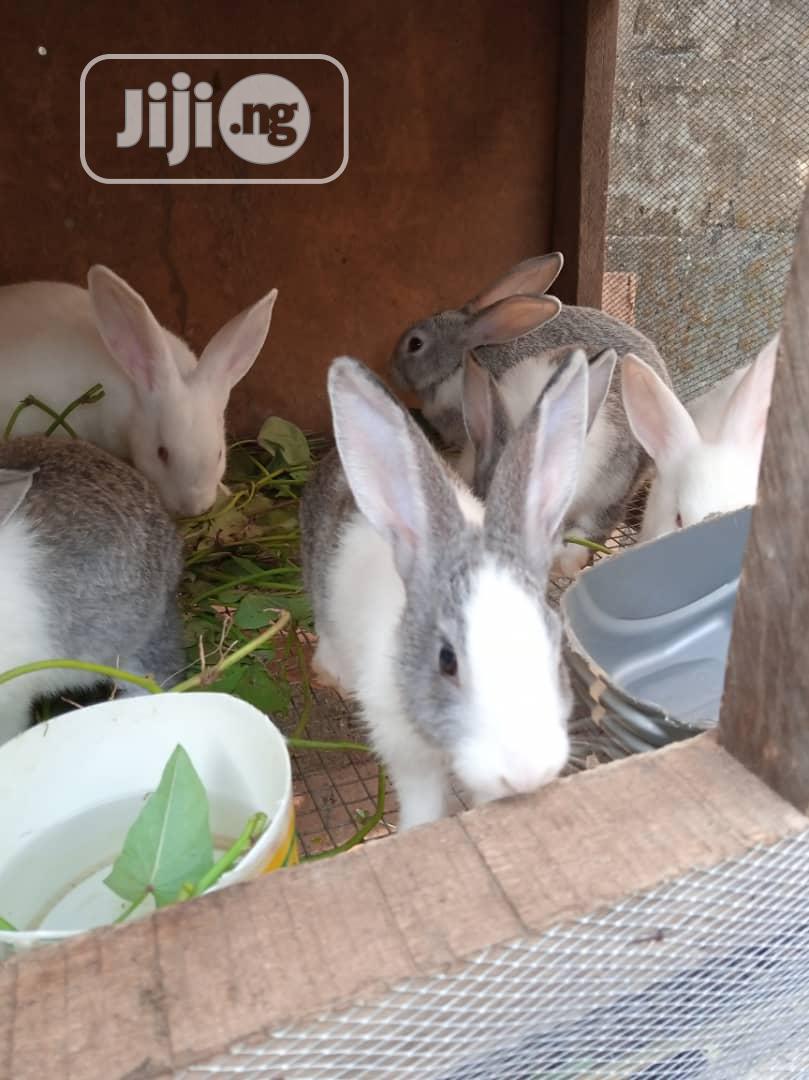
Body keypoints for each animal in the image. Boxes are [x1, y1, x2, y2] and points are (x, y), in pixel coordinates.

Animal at [301, 350, 592, 830]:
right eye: (447, 660)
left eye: (554, 650)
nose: (526, 772)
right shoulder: (402, 742)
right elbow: (422, 798)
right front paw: (417, 830)